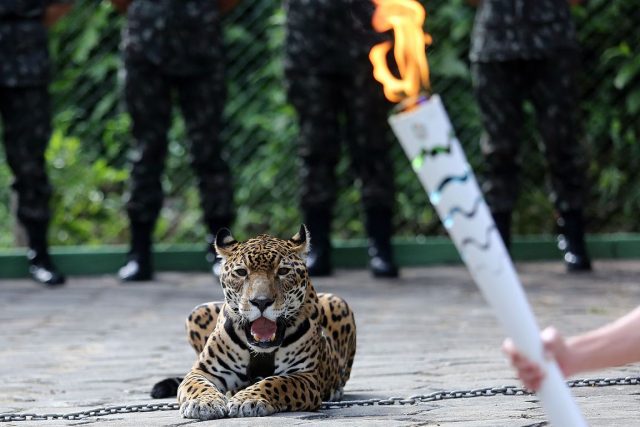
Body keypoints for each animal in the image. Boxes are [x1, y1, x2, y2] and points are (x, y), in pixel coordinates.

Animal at [173, 225, 356, 419]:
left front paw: (247, 399)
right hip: (198, 311)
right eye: (241, 272)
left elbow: (275, 382)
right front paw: (203, 403)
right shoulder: (204, 371)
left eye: (283, 271)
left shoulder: (306, 375)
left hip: (337, 302)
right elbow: (197, 386)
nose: (261, 301)